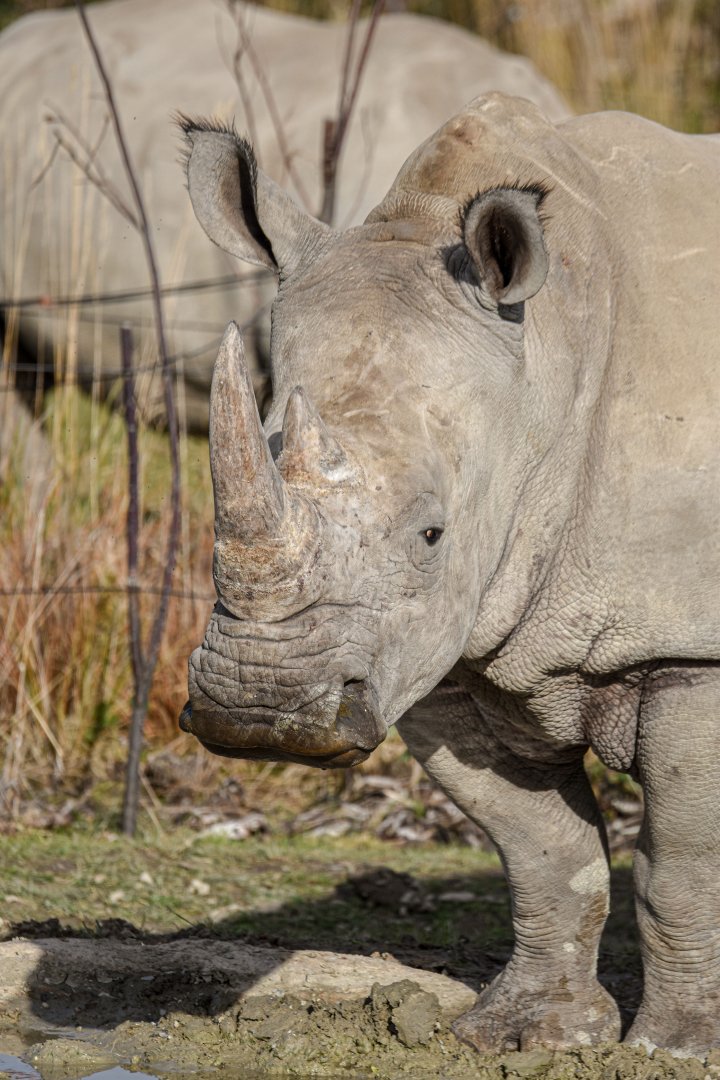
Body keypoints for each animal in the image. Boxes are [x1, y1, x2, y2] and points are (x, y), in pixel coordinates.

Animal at [178, 93, 720, 1055]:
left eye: (432, 533)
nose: (258, 713)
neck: (546, 357)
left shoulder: (692, 642)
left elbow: (684, 863)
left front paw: (679, 1047)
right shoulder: (442, 642)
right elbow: (543, 847)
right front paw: (527, 1034)